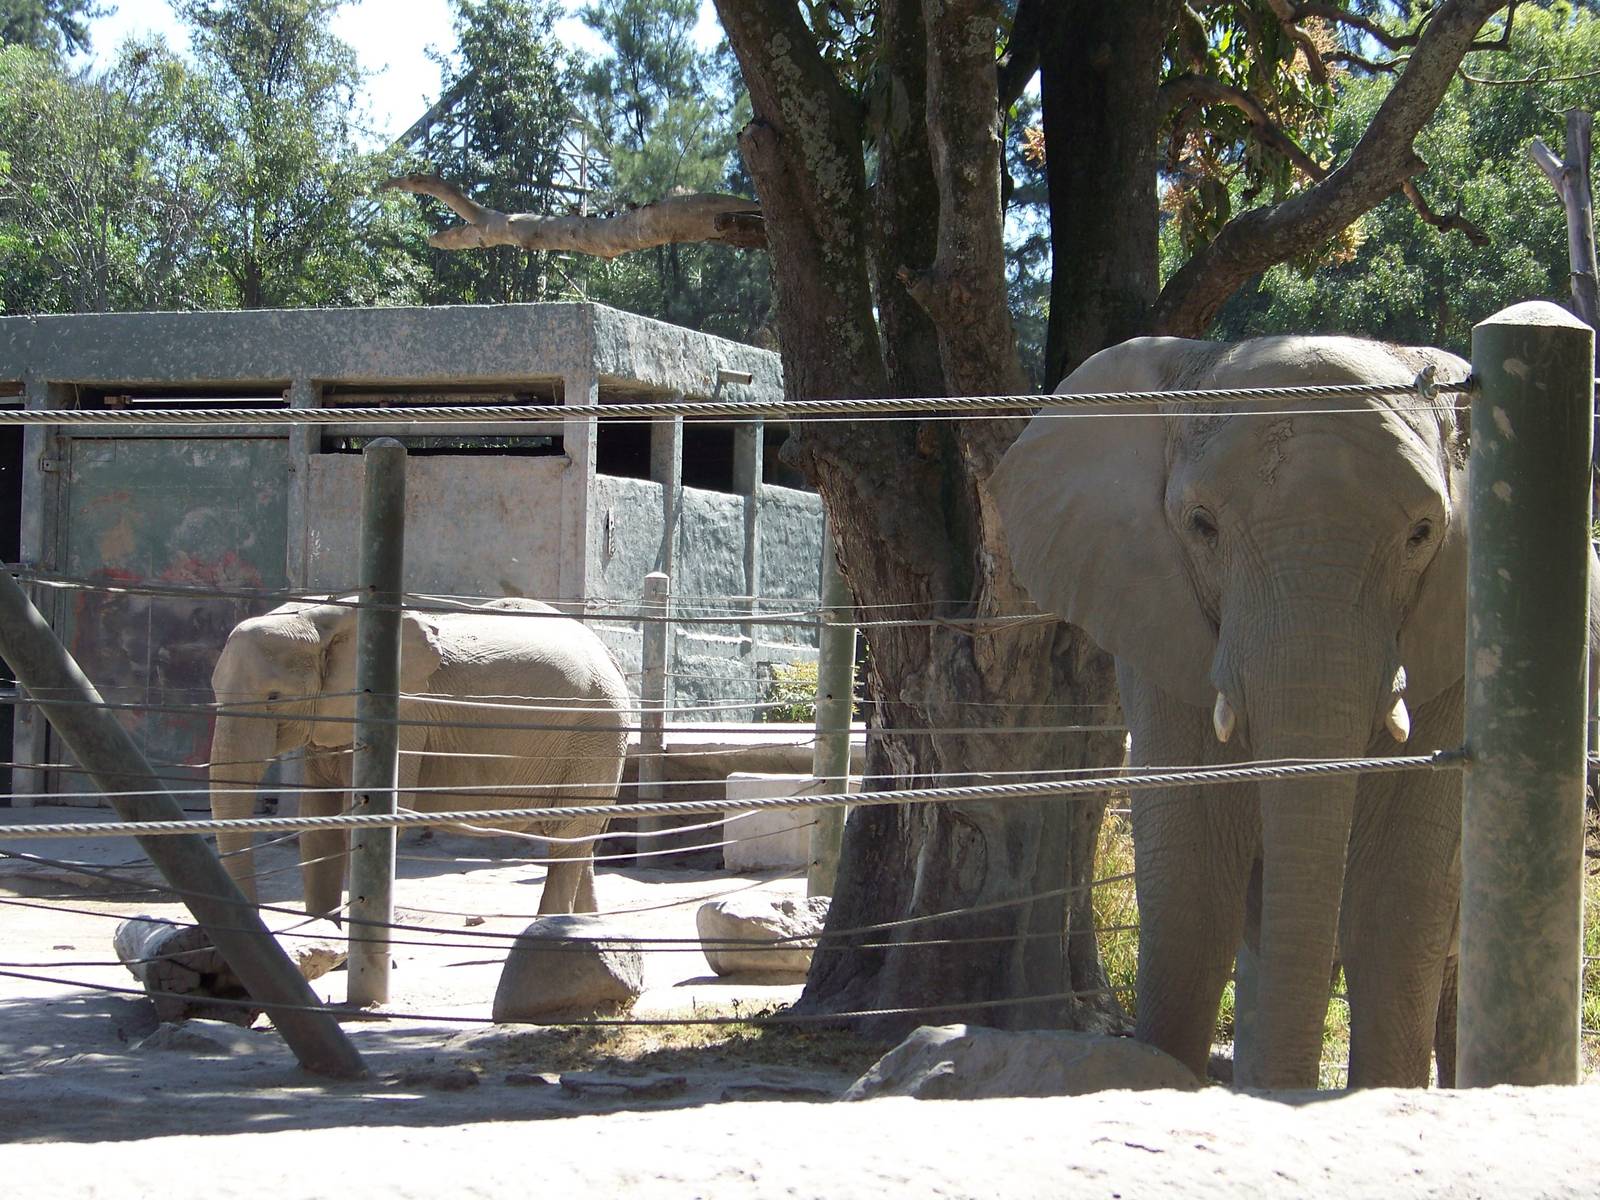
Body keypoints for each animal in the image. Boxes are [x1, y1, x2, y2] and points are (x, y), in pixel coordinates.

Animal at [208, 596, 630, 918]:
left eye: (273, 697)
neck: (325, 617)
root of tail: (606, 651)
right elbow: (318, 823)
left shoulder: (402, 716)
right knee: (580, 841)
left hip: (595, 734)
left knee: (567, 837)